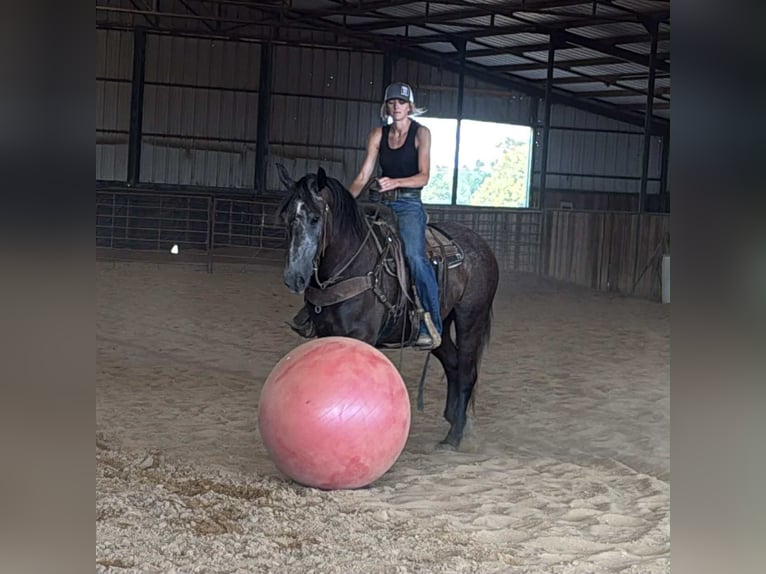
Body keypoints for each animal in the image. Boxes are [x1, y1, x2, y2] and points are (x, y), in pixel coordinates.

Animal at [276, 164, 500, 449]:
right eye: (286, 217)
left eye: (315, 218)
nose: (293, 278)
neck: (354, 265)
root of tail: (482, 246)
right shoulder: (327, 334)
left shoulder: (362, 337)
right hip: (441, 325)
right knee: (453, 364)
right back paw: (453, 420)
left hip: (470, 319)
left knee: (467, 372)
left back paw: (454, 437)